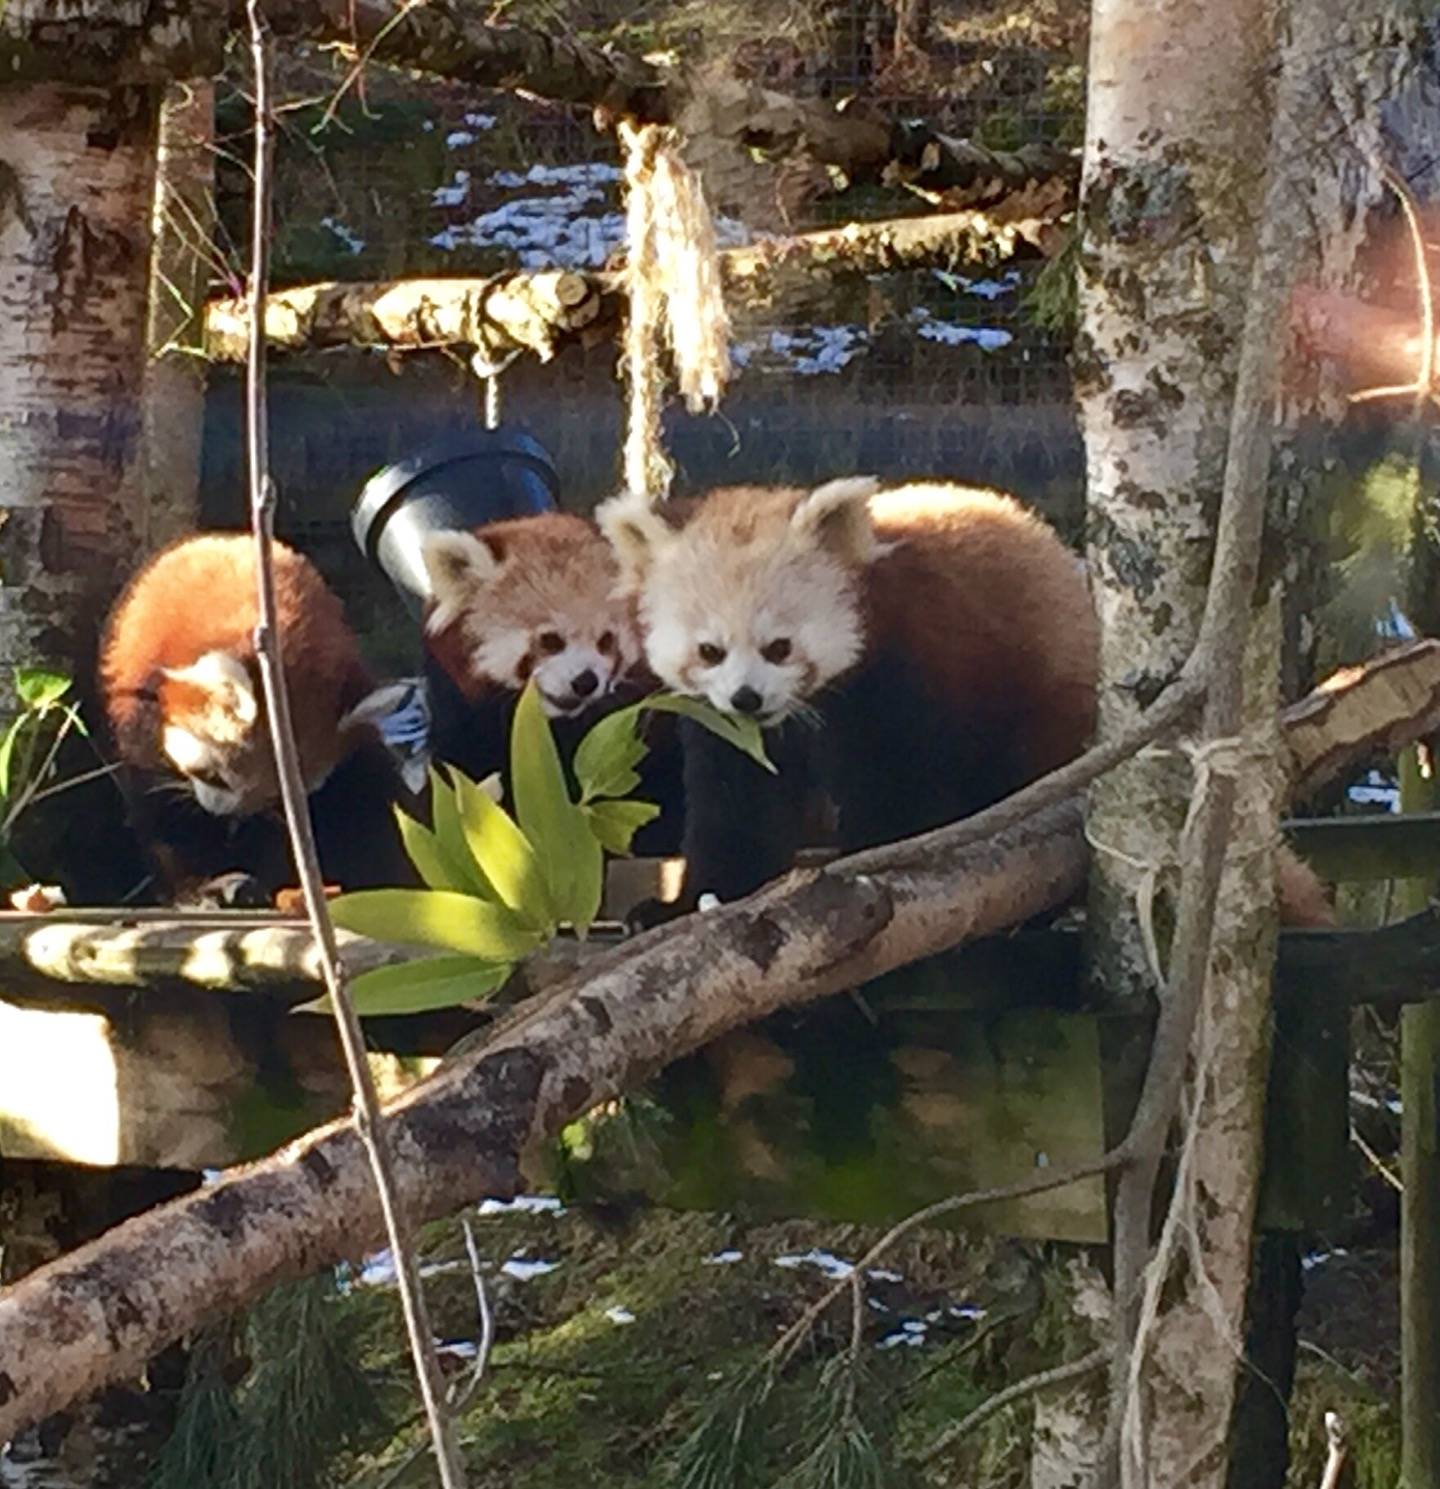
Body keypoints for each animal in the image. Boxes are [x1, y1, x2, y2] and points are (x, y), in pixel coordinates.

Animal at [595, 473, 1340, 917]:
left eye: (780, 646)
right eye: (710, 651)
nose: (749, 698)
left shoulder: (900, 672)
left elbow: (896, 784)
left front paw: (874, 858)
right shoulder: (723, 732)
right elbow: (734, 811)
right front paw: (691, 901)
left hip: (1049, 705)